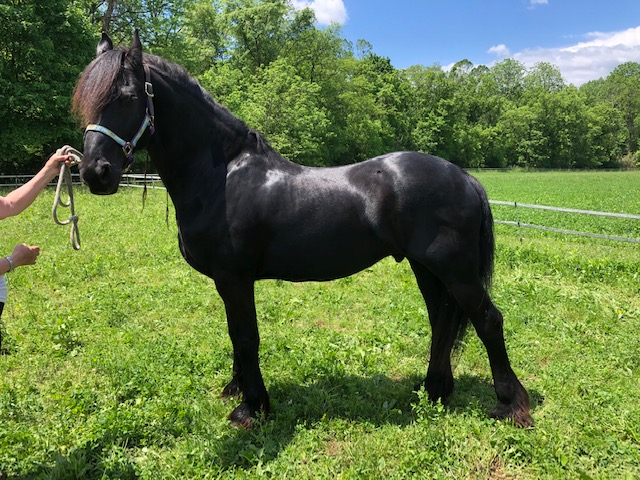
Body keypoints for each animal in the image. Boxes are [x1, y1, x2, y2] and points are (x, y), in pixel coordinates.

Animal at [72, 31, 532, 428]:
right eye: (87, 100)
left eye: (128, 97)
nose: (95, 173)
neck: (221, 175)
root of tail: (464, 176)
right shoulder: (227, 281)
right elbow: (235, 336)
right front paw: (236, 388)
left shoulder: (234, 277)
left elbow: (245, 337)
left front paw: (252, 408)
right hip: (427, 268)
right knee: (442, 320)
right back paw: (434, 390)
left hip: (455, 270)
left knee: (488, 320)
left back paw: (510, 405)